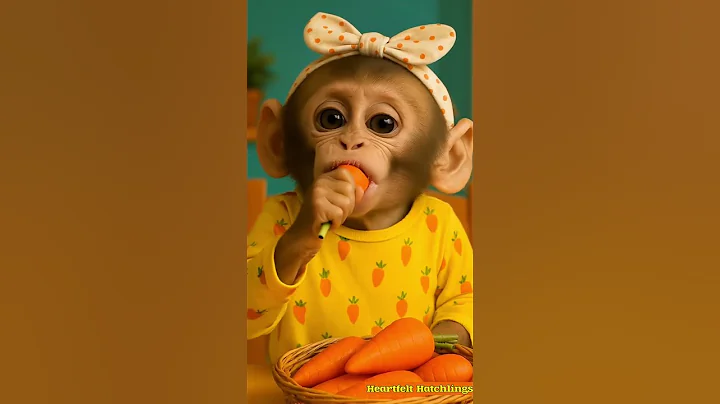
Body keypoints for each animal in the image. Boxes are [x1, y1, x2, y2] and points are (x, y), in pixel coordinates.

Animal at [247, 12, 474, 365]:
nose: (351, 141)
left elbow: (463, 301)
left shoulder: (452, 225)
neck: (369, 226)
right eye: (331, 118)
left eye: (383, 124)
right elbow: (253, 288)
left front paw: (442, 343)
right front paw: (316, 212)